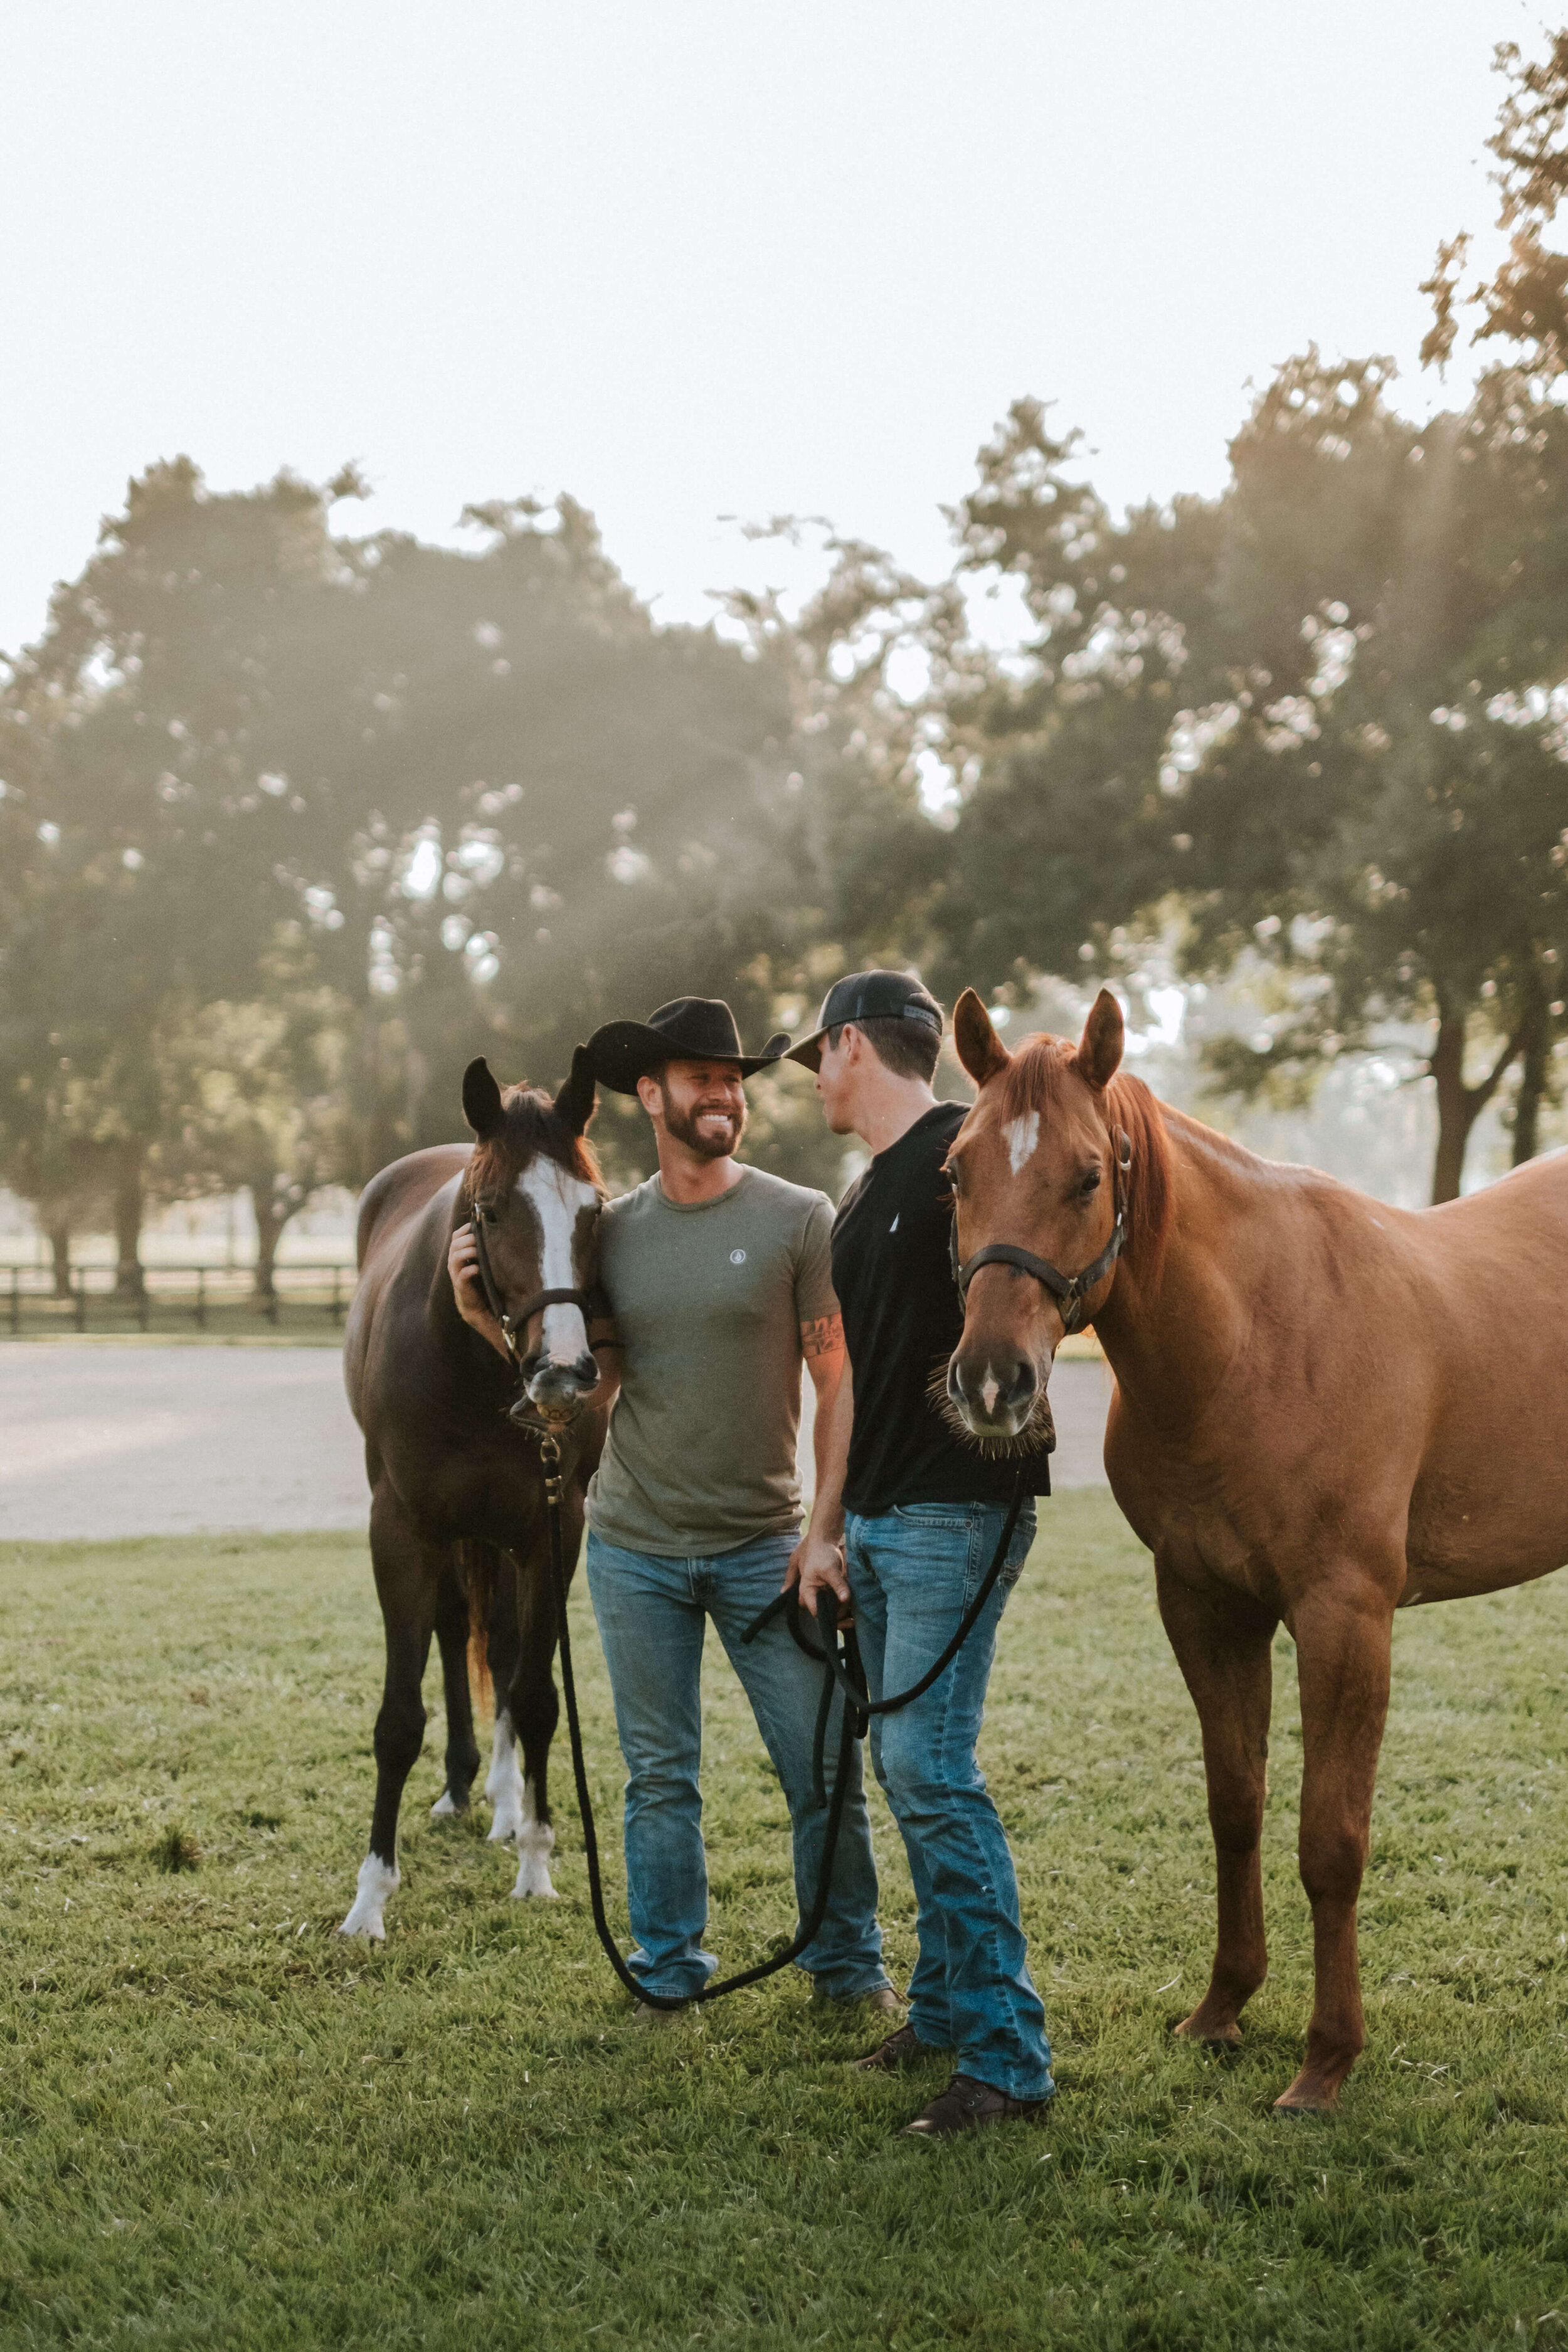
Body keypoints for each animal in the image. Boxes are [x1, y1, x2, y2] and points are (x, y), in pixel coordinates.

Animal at [338, 1058, 607, 1938]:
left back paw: (504, 1804)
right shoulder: (401, 1533)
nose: (564, 1372)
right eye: (489, 1212)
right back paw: (462, 1788)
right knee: (458, 1632)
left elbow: (534, 1696)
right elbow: (398, 1721)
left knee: (499, 1649)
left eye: (594, 1209)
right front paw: (370, 1899)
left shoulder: (551, 1532)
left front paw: (537, 1863)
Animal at [945, 988, 1568, 2117]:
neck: (1258, 1340)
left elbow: (1331, 1841)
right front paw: (1223, 2007)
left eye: (1088, 1175)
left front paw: (1327, 2058)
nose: (992, 1380)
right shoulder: (1204, 1605)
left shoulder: (1343, 1618)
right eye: (957, 1171)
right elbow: (1235, 1807)